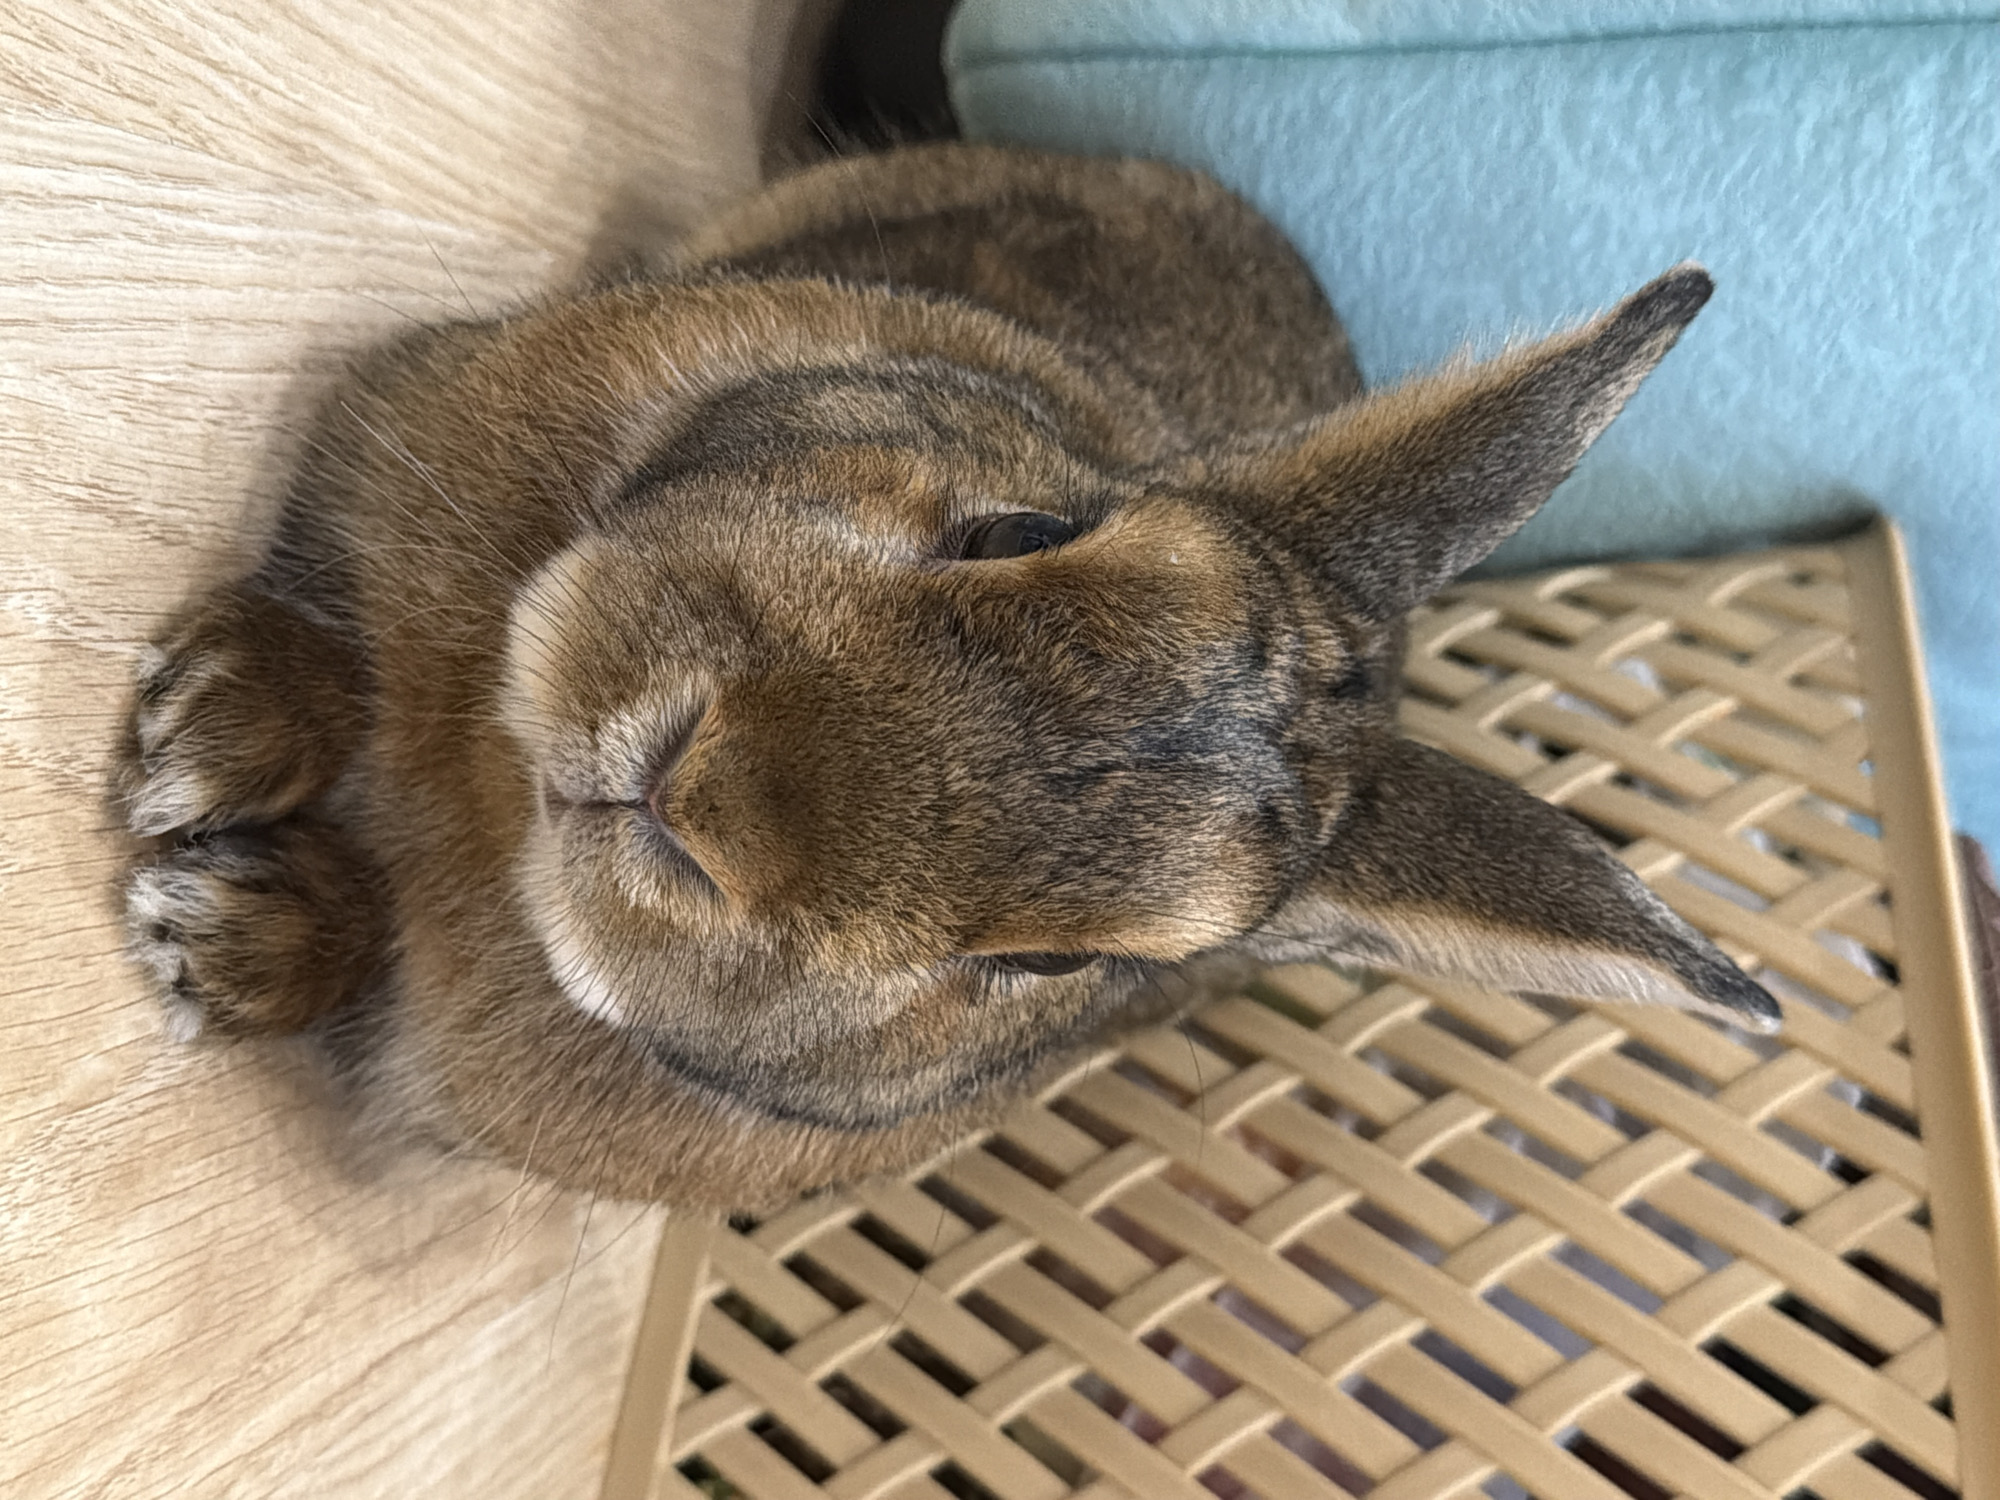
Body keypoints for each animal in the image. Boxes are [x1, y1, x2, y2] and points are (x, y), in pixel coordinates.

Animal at [117, 143, 1777, 1210]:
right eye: (1021, 530)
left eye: (1053, 965)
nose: (690, 792)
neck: (495, 798)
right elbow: (334, 648)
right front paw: (207, 728)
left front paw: (219, 931)